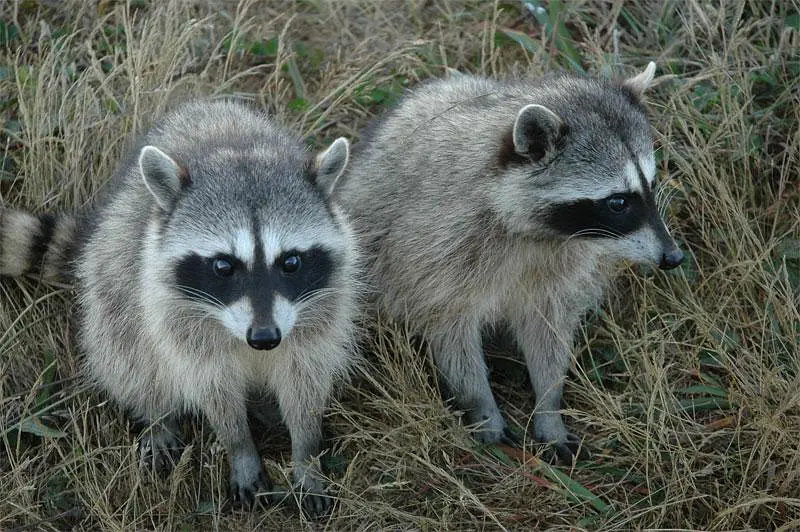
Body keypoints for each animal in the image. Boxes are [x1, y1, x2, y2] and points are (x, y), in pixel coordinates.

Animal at [0, 100, 358, 516]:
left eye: (291, 262)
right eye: (223, 267)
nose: (265, 337)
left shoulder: (321, 311)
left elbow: (305, 383)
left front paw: (306, 453)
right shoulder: (175, 314)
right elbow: (214, 391)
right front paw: (241, 448)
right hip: (112, 276)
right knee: (127, 350)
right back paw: (156, 415)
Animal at [334, 63, 684, 462]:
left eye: (650, 186)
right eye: (618, 202)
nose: (673, 257)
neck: (538, 233)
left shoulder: (561, 266)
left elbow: (548, 330)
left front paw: (549, 405)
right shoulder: (436, 248)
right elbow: (449, 329)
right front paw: (481, 406)